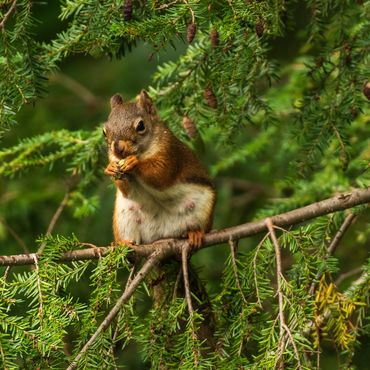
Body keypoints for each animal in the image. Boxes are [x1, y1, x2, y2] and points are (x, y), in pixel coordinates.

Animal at [102, 89, 215, 249]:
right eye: (104, 132)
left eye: (141, 126)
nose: (117, 149)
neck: (142, 152)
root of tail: (162, 235)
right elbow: (126, 190)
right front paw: (110, 168)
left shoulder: (169, 152)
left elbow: (160, 175)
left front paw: (134, 162)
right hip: (124, 218)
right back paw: (124, 244)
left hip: (203, 209)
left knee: (200, 227)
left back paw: (195, 233)